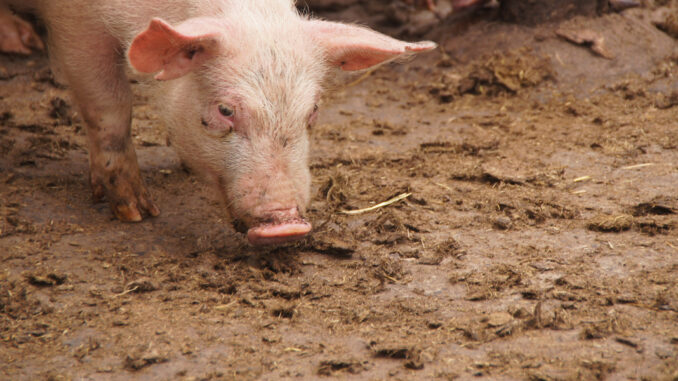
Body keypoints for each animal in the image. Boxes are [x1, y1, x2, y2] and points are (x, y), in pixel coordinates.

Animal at [0, 0, 438, 245]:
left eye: (312, 111)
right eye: (225, 111)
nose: (287, 225)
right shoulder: (75, 25)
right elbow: (109, 104)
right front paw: (136, 213)